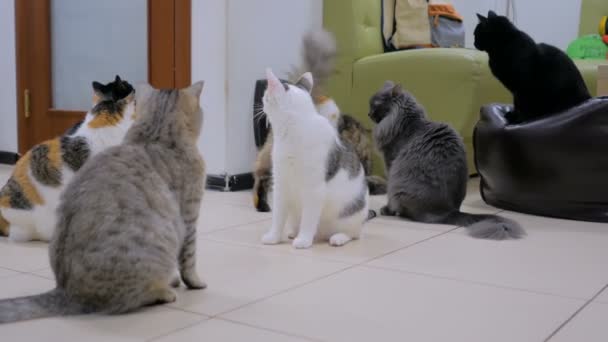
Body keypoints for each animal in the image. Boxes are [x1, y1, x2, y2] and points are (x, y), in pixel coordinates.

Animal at [368, 81, 524, 239]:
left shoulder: (390, 163)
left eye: (374, 105)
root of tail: (449, 211)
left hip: (398, 184)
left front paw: (386, 210)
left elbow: (388, 196)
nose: (368, 113)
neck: (407, 122)